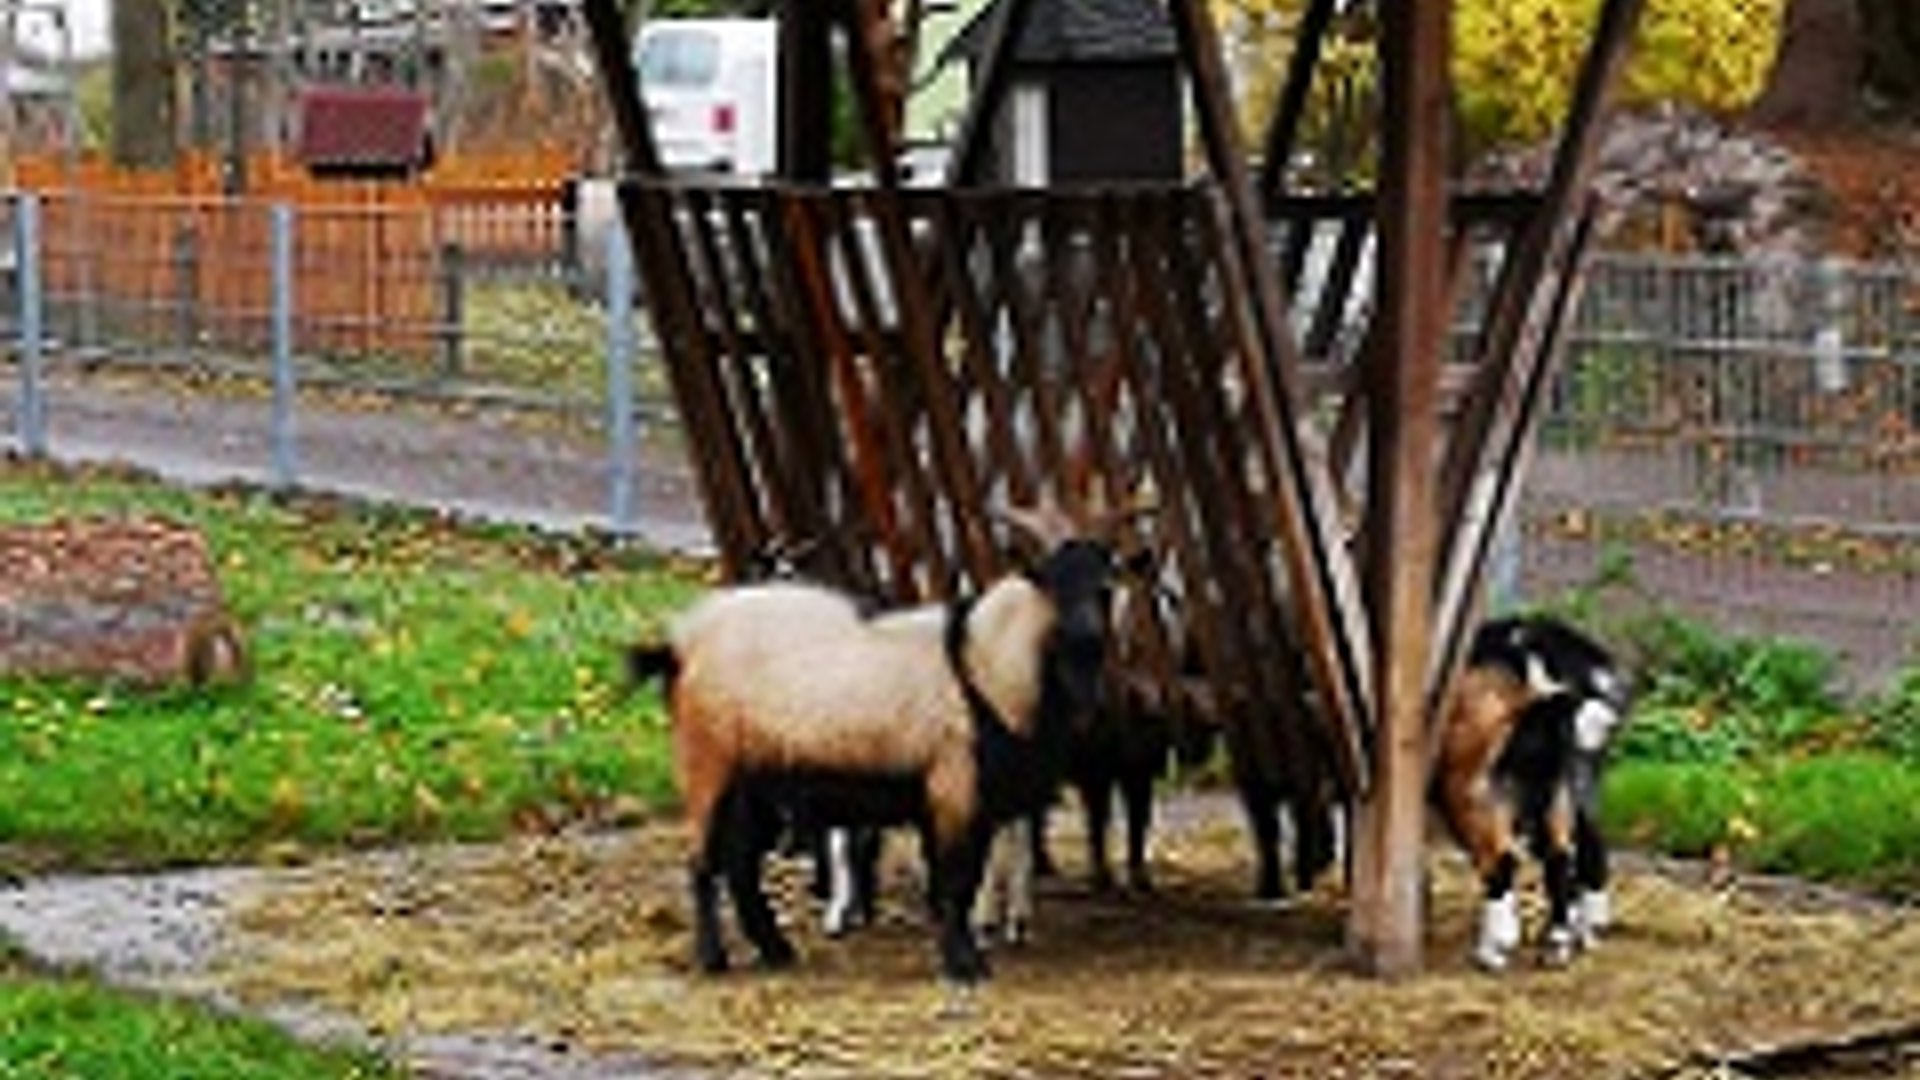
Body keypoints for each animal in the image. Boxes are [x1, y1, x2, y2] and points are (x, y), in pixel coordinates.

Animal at [633, 499, 1136, 980]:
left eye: (1105, 586)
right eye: (1047, 583)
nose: (1088, 638)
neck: (980, 667)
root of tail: (679, 645)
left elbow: (965, 878)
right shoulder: (953, 787)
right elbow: (955, 882)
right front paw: (964, 966)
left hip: (757, 785)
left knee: (740, 867)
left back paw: (778, 952)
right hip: (706, 762)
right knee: (703, 862)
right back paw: (713, 959)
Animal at [1436, 611, 1628, 972]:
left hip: (1473, 791)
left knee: (1501, 860)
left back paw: (1494, 951)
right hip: (1564, 784)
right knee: (1568, 852)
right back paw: (1564, 943)